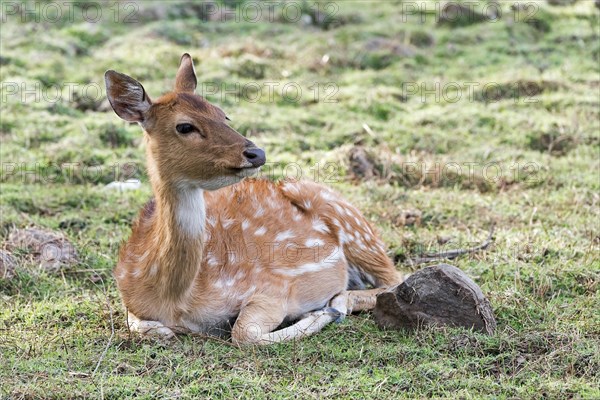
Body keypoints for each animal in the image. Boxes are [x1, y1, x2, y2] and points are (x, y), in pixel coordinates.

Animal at [106, 54, 404, 346]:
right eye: (185, 126)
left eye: (223, 114)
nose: (256, 153)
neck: (175, 299)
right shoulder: (131, 301)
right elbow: (142, 325)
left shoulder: (273, 287)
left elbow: (243, 333)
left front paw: (322, 311)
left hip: (351, 224)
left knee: (392, 280)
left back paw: (336, 304)